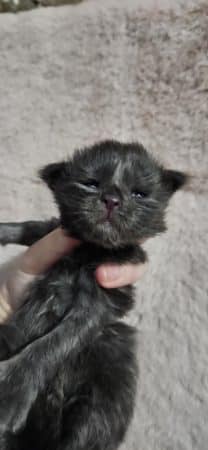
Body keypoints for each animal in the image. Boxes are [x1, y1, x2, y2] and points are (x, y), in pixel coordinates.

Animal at [0, 142, 186, 450]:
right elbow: (33, 226)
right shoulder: (55, 237)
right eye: (90, 184)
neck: (90, 249)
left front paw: (12, 389)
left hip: (99, 404)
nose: (111, 199)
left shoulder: (101, 302)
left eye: (139, 193)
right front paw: (3, 229)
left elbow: (54, 342)